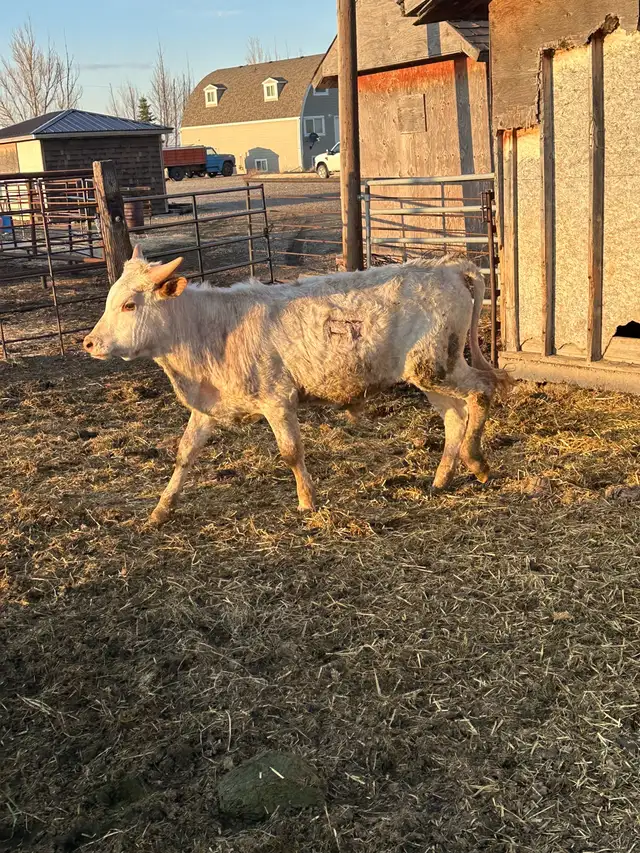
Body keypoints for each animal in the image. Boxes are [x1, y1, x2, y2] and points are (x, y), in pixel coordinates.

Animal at [84, 247, 512, 524]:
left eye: (129, 305)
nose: (89, 343)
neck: (212, 328)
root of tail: (449, 268)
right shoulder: (206, 407)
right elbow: (185, 454)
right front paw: (161, 509)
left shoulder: (278, 400)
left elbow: (290, 452)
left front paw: (307, 502)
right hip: (430, 375)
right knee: (455, 417)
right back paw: (442, 478)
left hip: (440, 366)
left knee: (482, 390)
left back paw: (477, 461)